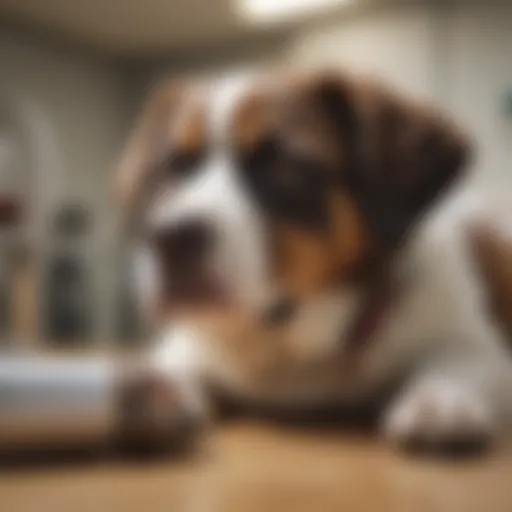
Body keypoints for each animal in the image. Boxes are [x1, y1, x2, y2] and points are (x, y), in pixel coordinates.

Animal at [114, 69, 512, 452]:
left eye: (279, 162)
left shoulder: (472, 338)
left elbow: (463, 357)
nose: (169, 238)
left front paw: (442, 399)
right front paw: (148, 387)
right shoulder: (191, 345)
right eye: (175, 164)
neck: (290, 347)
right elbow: (172, 362)